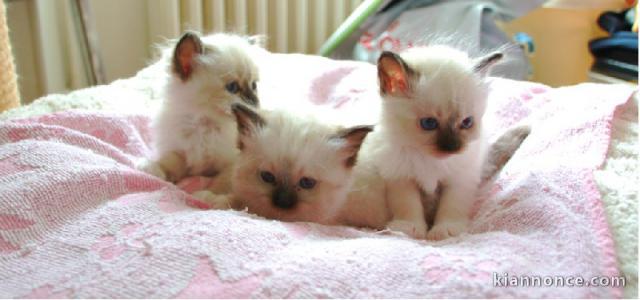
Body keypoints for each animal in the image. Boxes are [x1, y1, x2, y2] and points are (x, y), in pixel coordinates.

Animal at [138, 30, 262, 195]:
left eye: (254, 85)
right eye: (233, 87)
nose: (254, 101)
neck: (203, 125)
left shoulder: (232, 162)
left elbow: (220, 184)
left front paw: (205, 196)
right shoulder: (180, 152)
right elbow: (168, 162)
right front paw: (152, 170)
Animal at [372, 45, 502, 240]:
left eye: (467, 122)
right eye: (429, 123)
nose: (453, 148)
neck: (430, 160)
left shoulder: (459, 180)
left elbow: (451, 207)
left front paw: (445, 231)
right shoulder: (402, 177)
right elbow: (408, 206)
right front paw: (410, 228)